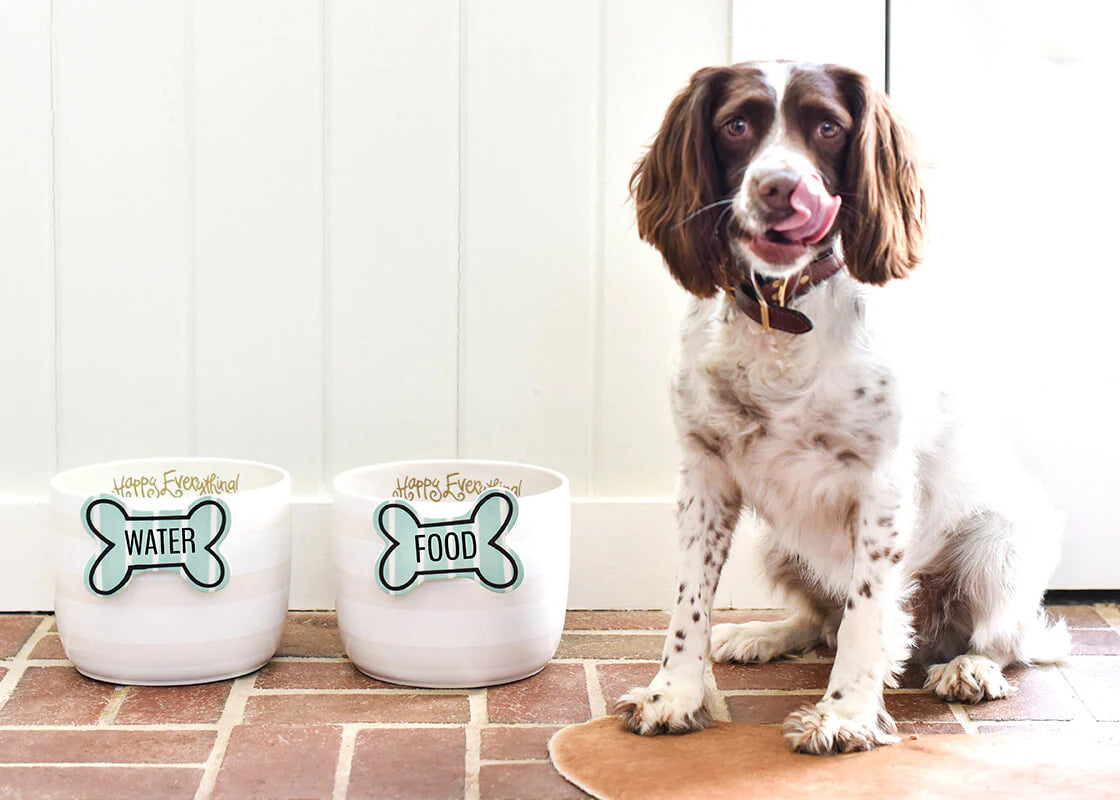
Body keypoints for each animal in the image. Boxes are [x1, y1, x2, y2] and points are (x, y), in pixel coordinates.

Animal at [618, 63, 1070, 752]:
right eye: (737, 124)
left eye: (828, 127)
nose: (781, 188)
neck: (784, 314)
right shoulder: (705, 473)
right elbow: (688, 604)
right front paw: (674, 694)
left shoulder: (880, 485)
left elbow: (866, 614)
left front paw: (844, 715)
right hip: (778, 543)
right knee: (821, 620)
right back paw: (762, 634)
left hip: (1002, 546)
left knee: (1005, 641)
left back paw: (968, 668)